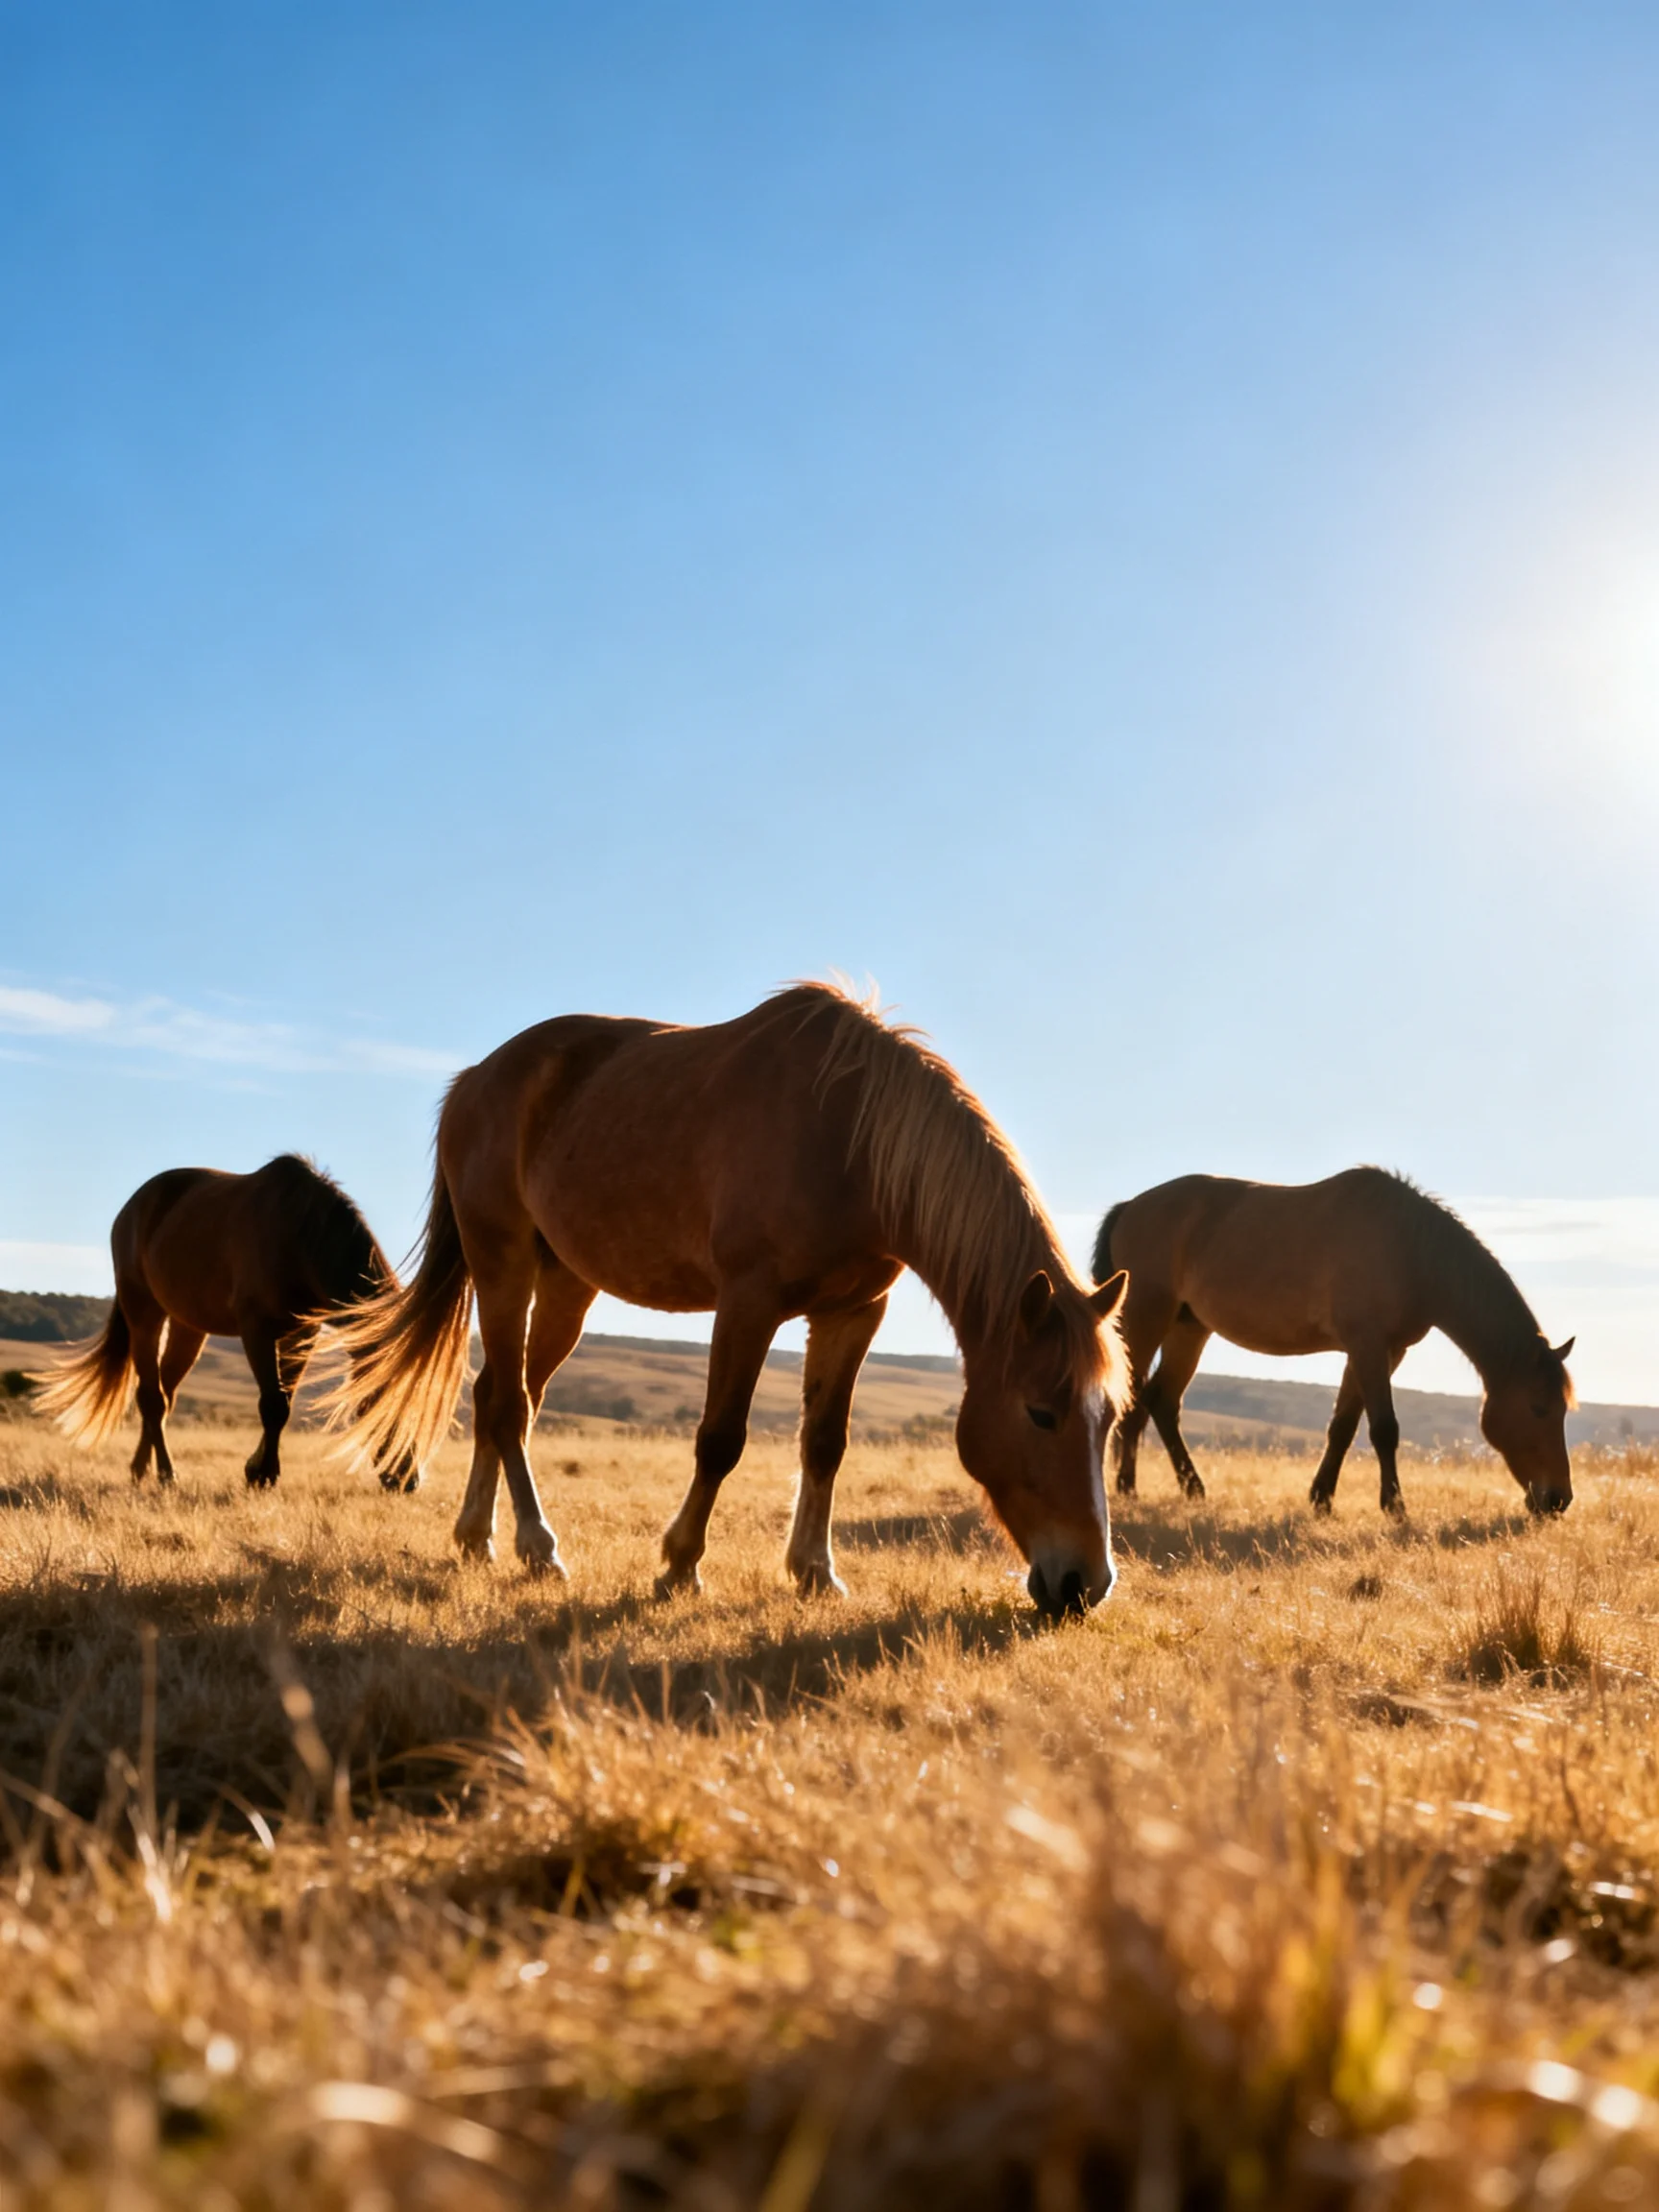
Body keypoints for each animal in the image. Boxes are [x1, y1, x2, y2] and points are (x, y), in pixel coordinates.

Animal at [35, 1155, 416, 1492]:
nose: (408, 1480)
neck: (300, 1236)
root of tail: (130, 1210)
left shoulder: (301, 1333)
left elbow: (285, 1400)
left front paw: (256, 1469)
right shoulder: (256, 1328)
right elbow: (273, 1405)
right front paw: (262, 1474)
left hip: (188, 1329)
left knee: (163, 1397)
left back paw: (141, 1469)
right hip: (144, 1315)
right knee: (152, 1398)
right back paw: (166, 1474)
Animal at [330, 983, 1130, 1617]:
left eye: (1111, 1420)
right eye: (1041, 1413)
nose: (1084, 1585)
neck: (848, 1138)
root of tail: (472, 1081)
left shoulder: (853, 1314)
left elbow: (825, 1442)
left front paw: (815, 1572)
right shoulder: (748, 1304)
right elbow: (721, 1439)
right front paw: (680, 1565)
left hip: (566, 1285)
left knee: (504, 1396)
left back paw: (477, 1537)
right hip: (503, 1266)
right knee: (505, 1405)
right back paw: (538, 1547)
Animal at [1092, 1168, 1576, 1518]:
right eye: (1539, 1408)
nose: (1558, 1499)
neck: (1411, 1250)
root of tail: (1130, 1207)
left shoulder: (1383, 1352)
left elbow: (1343, 1426)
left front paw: (1321, 1499)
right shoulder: (1368, 1346)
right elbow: (1383, 1428)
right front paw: (1395, 1507)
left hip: (1189, 1329)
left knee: (1160, 1401)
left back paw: (1188, 1489)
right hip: (1145, 1320)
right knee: (1132, 1400)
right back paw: (1128, 1490)